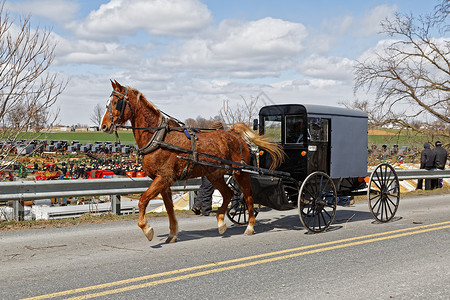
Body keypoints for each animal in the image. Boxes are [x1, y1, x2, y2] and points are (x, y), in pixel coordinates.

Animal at [102, 80, 284, 244]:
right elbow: (169, 209)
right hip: (214, 175)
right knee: (228, 194)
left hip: (240, 172)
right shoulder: (164, 181)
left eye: (116, 102)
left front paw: (147, 229)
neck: (158, 138)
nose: (103, 126)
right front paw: (172, 234)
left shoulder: (163, 178)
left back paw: (250, 226)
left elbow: (142, 201)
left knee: (247, 196)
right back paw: (220, 222)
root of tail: (234, 133)